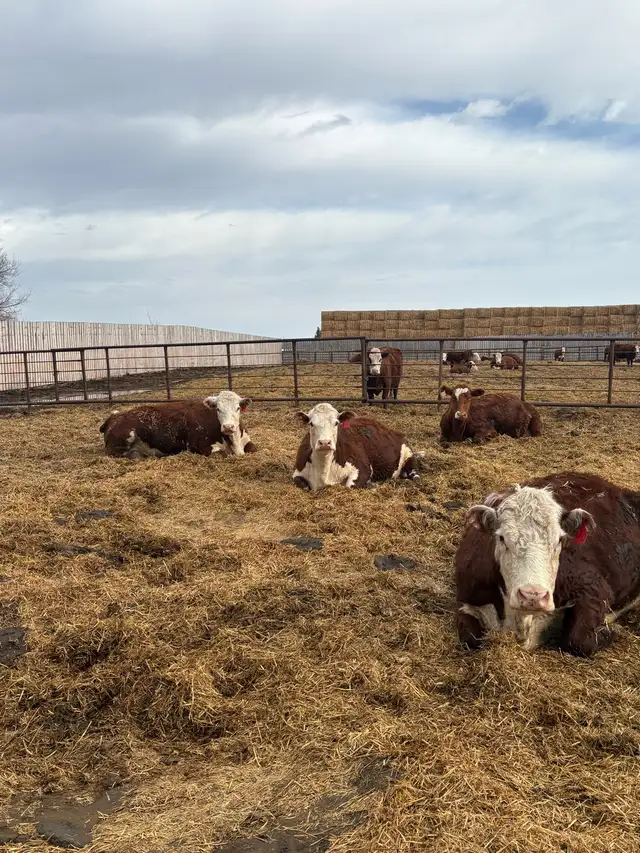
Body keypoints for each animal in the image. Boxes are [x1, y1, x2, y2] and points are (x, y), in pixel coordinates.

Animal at [99, 391, 256, 460]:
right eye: (218, 408)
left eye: (238, 408)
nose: (228, 427)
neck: (233, 441)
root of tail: (114, 416)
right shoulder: (197, 446)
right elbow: (221, 453)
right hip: (124, 439)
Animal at [455, 472, 640, 657]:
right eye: (501, 538)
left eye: (560, 540)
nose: (533, 596)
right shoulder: (467, 598)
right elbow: (471, 639)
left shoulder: (591, 586)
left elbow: (579, 641)